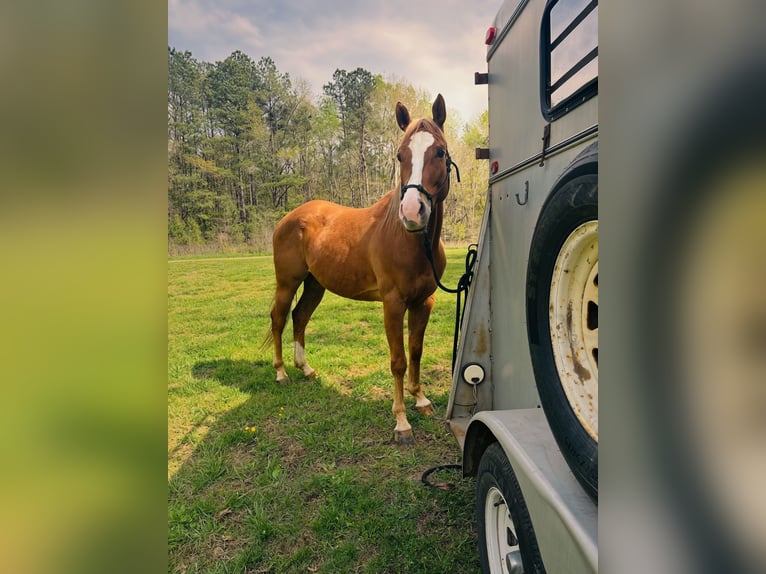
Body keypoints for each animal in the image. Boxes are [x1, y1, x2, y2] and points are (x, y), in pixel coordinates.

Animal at [268, 94, 455, 444]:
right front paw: (401, 422)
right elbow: (398, 360)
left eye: (439, 151)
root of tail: (289, 218)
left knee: (300, 317)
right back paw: (281, 372)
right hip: (287, 282)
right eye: (400, 155)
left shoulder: (424, 302)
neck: (408, 241)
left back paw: (306, 369)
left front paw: (421, 399)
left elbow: (416, 351)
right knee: (278, 319)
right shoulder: (393, 304)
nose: (413, 213)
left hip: (315, 284)